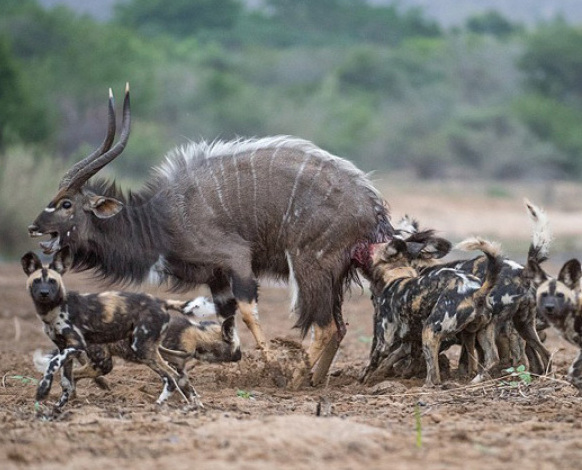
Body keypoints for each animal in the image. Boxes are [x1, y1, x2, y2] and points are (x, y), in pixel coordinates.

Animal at [26, 84, 392, 386]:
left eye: (66, 203)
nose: (33, 227)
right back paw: (314, 380)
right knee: (338, 327)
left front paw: (273, 370)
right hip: (332, 274)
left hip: (309, 265)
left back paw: (297, 379)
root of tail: (372, 206)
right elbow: (225, 321)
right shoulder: (216, 277)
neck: (161, 220)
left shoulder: (237, 260)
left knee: (325, 325)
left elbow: (247, 311)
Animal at [362, 230, 504, 386]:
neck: (398, 274)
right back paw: (475, 380)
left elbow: (373, 362)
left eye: (369, 250)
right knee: (491, 359)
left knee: (434, 377)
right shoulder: (410, 340)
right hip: (475, 333)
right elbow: (397, 359)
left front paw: (364, 380)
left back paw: (427, 386)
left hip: (429, 332)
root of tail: (476, 291)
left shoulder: (384, 342)